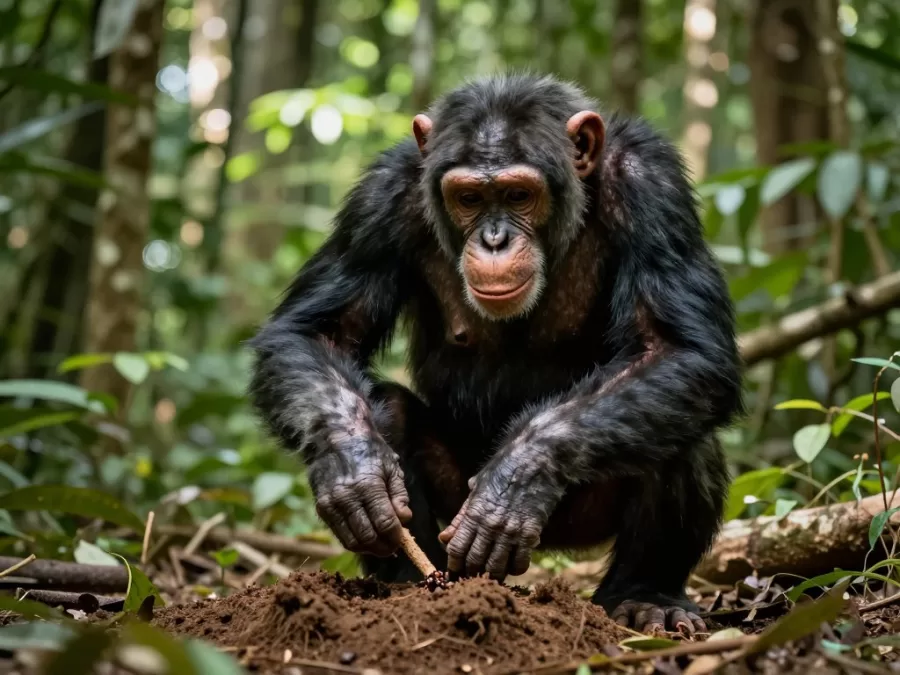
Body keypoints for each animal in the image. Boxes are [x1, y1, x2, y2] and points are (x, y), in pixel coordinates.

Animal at [248, 73, 743, 634]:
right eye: (468, 198)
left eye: (518, 194)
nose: (494, 238)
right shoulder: (381, 197)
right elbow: (319, 333)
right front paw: (353, 467)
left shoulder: (651, 183)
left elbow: (674, 347)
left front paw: (513, 482)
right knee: (389, 408)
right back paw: (407, 584)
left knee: (683, 428)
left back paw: (644, 596)